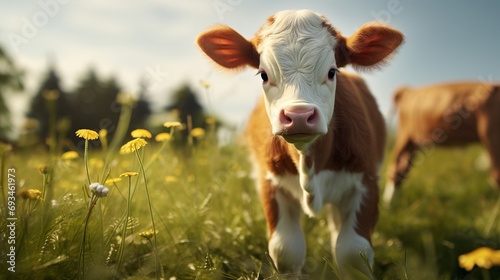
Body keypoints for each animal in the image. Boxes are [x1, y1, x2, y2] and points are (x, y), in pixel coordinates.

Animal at [195, 9, 402, 276]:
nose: (299, 116)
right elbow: (286, 249)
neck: (309, 164)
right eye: (263, 75)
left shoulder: (366, 180)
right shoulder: (270, 184)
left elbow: (352, 251)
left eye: (332, 72)